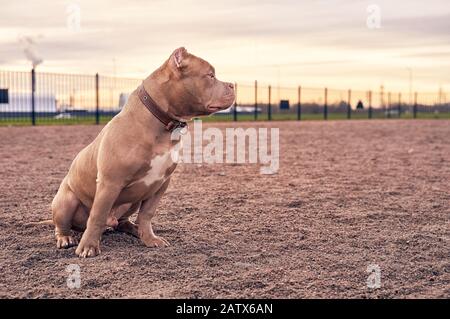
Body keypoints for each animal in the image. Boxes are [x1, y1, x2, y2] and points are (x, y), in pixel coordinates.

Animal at [51, 47, 236, 258]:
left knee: (123, 221)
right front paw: (88, 246)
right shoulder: (109, 183)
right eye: (210, 75)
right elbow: (97, 215)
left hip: (132, 201)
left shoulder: (160, 183)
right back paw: (65, 238)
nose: (232, 85)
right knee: (64, 224)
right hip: (66, 200)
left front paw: (149, 238)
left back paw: (133, 229)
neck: (162, 123)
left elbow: (147, 214)